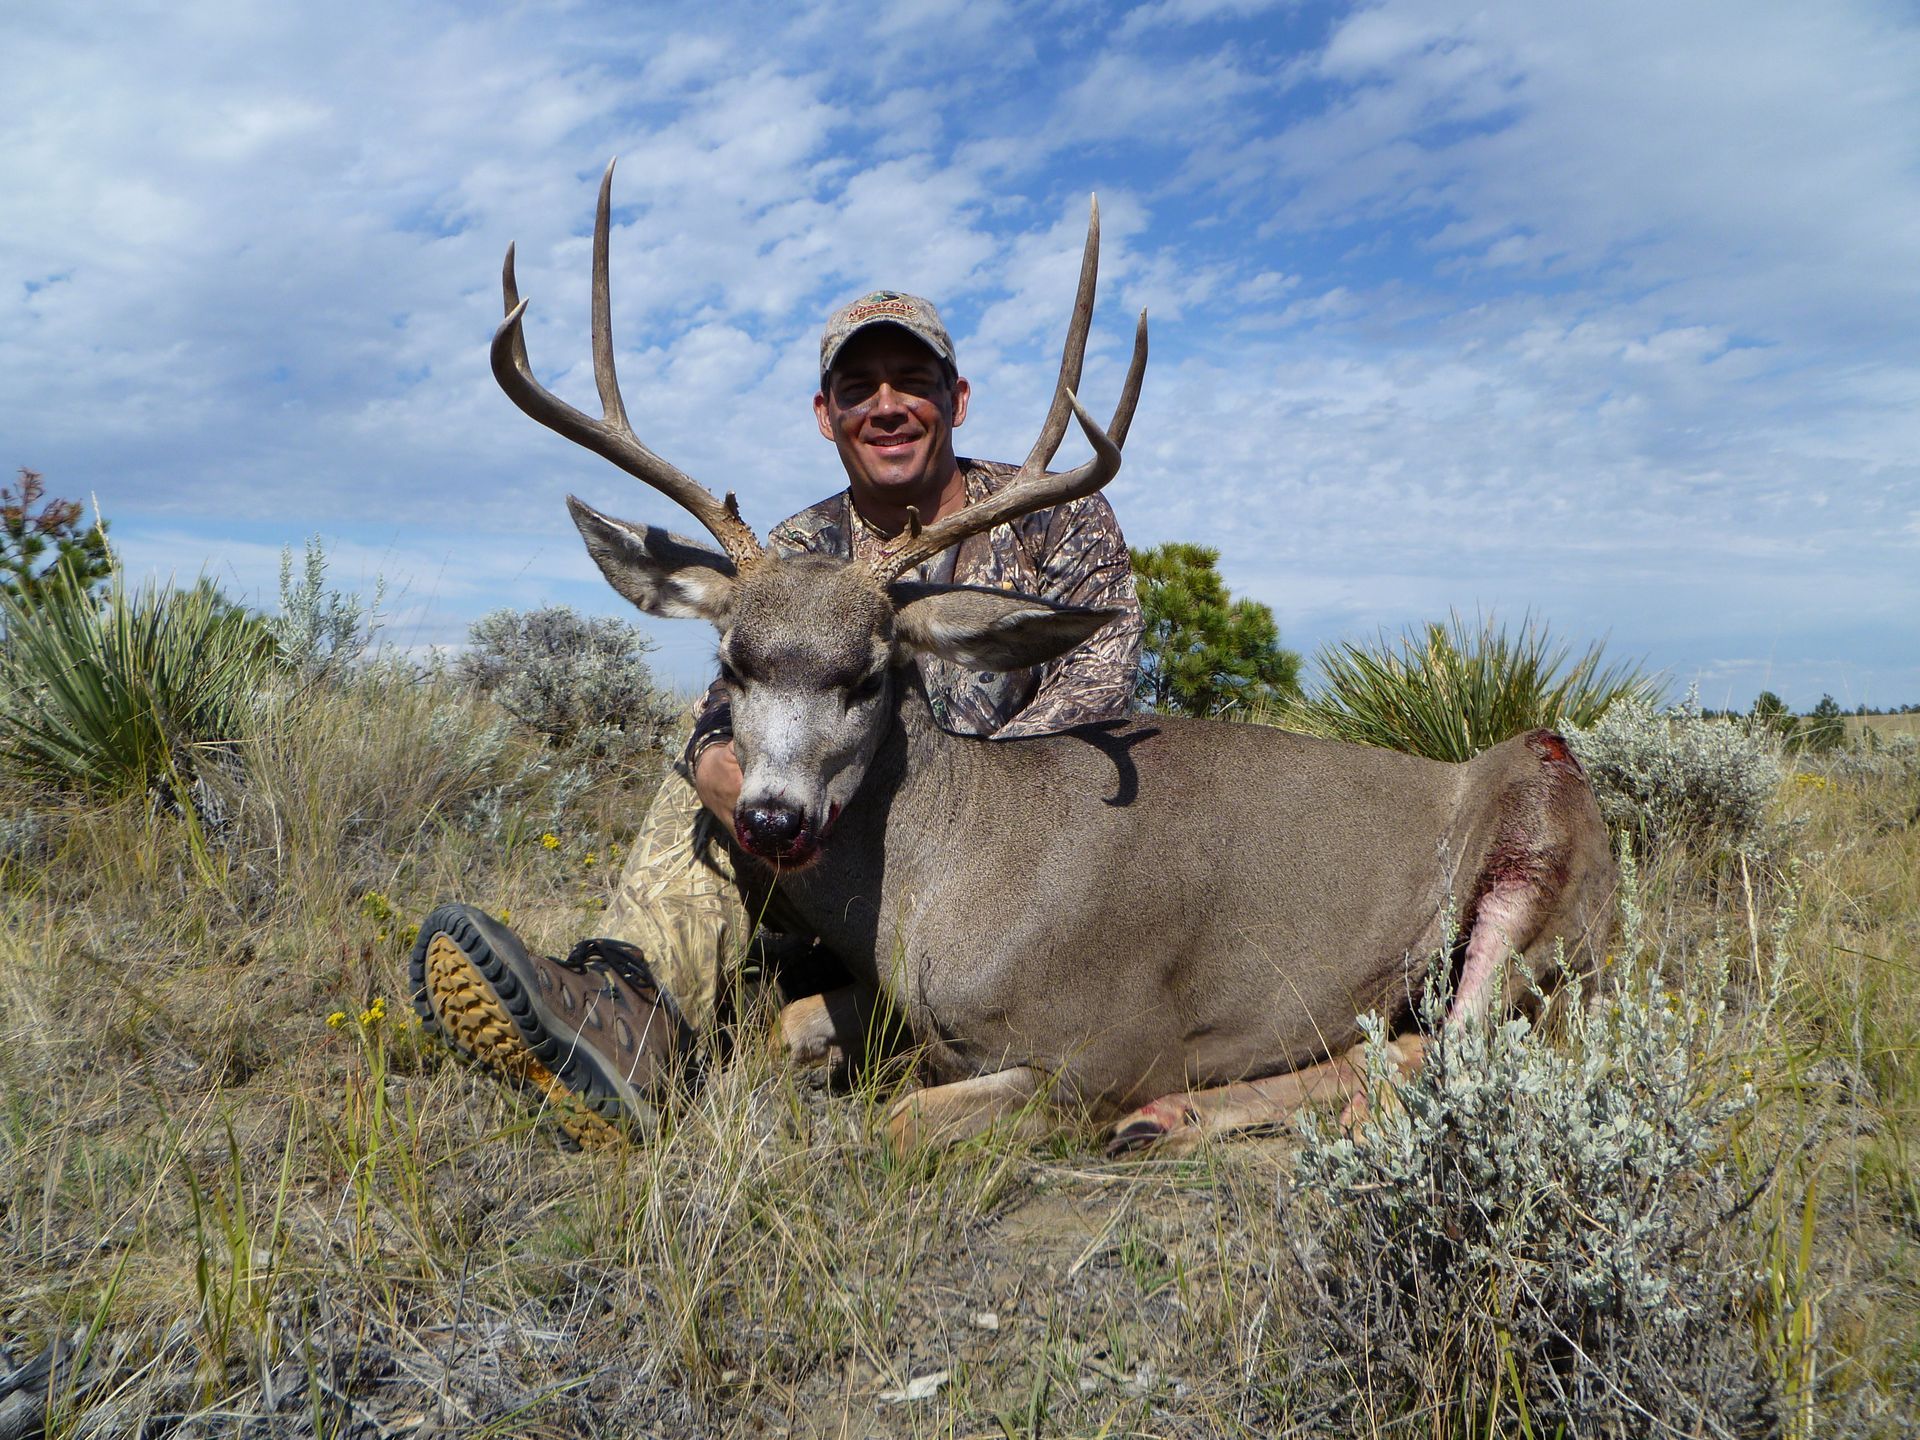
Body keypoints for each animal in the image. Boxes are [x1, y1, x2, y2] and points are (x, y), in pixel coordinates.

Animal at [488, 165, 1618, 1155]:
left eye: (869, 673)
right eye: (731, 662)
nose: (771, 819)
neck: (951, 881)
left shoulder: (1110, 1042)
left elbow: (899, 1123)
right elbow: (781, 1026)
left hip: (1536, 828)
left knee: (1453, 1043)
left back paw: (1191, 1115)